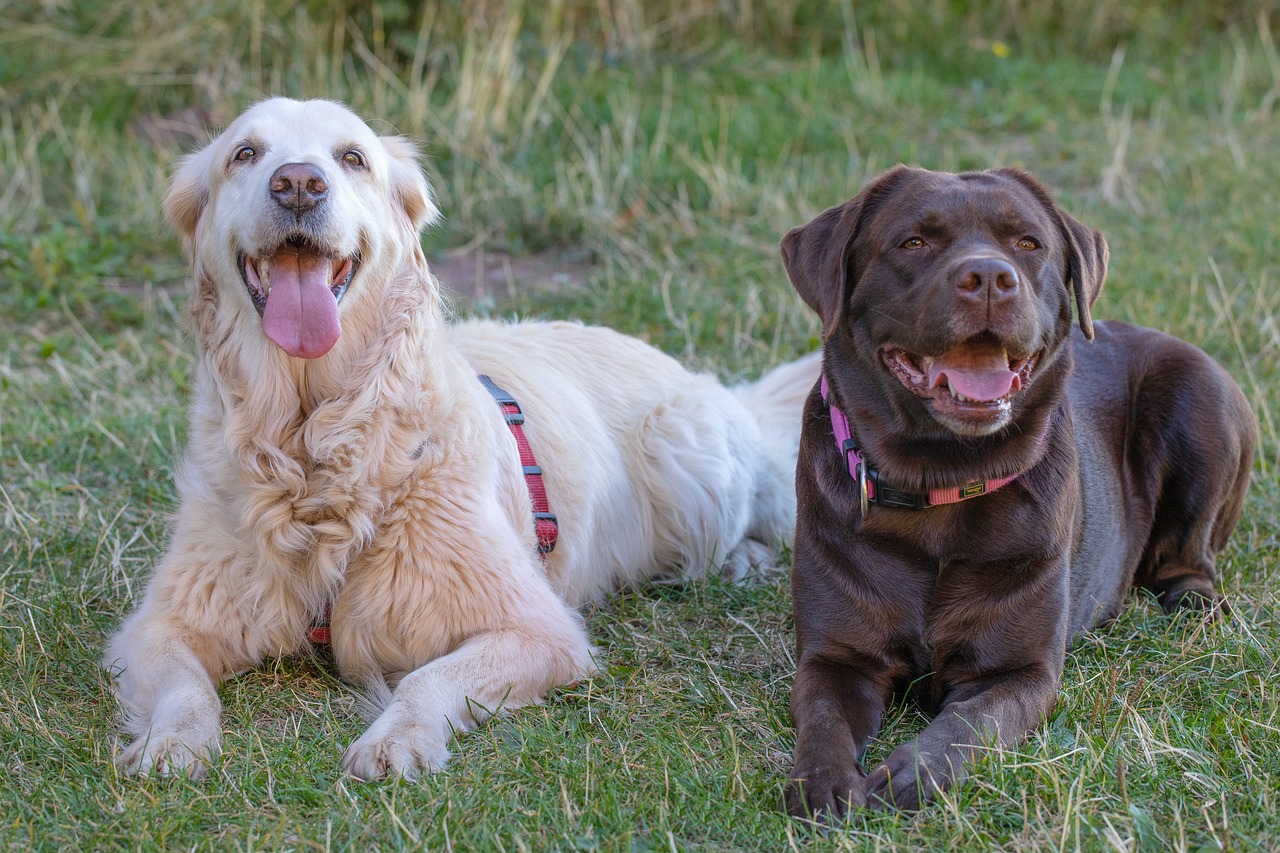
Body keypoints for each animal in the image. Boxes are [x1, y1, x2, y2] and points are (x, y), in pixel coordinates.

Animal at [102, 99, 819, 778]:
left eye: (352, 157)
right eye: (245, 154)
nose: (299, 184)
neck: (316, 449)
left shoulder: (538, 628)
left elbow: (426, 678)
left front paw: (396, 739)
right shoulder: (157, 626)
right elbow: (184, 688)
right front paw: (172, 741)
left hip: (689, 457)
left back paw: (742, 559)